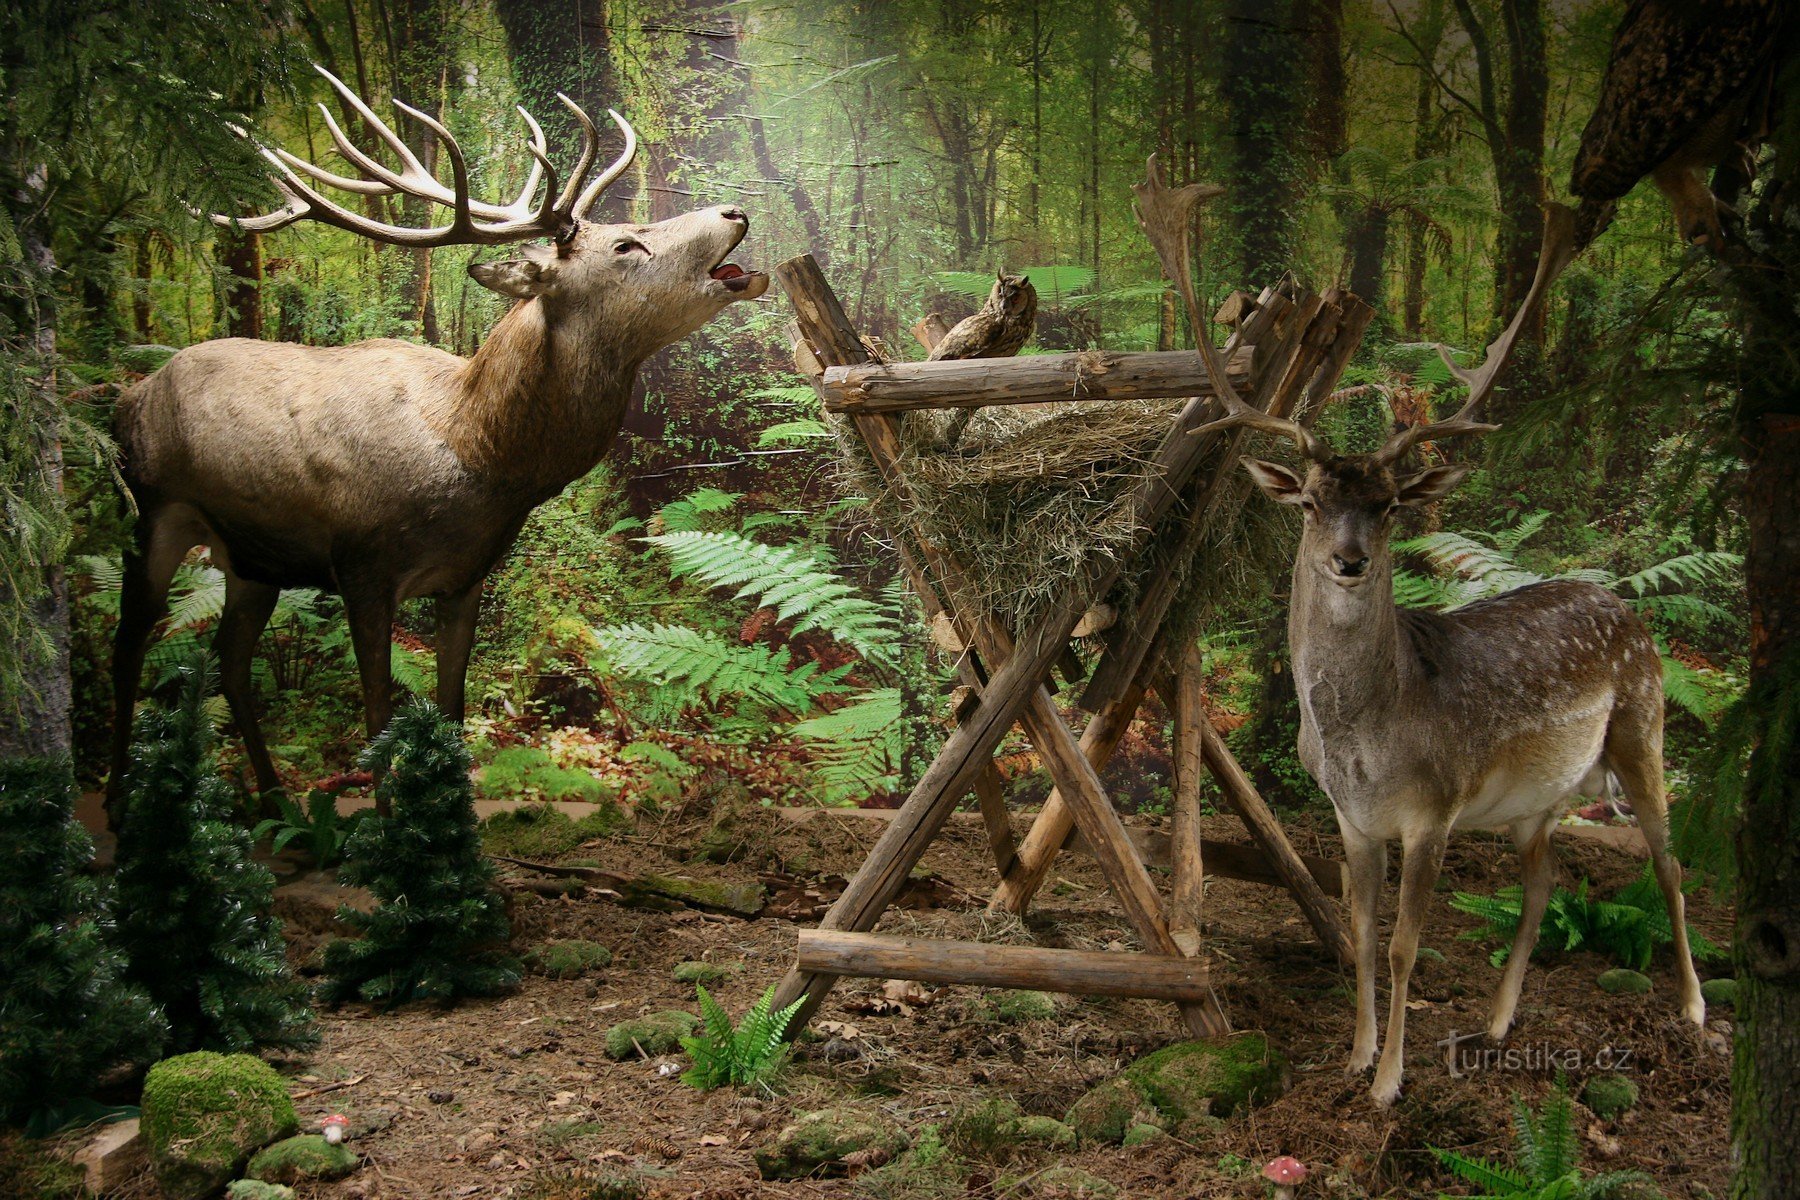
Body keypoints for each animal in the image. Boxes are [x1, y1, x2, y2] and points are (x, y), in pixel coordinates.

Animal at [105, 67, 766, 827]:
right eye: (625, 246)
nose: (733, 211)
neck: (480, 457)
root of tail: (128, 396)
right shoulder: (360, 565)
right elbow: (376, 717)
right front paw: (393, 833)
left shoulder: (467, 575)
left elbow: (450, 707)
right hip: (149, 512)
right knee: (128, 644)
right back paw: (121, 802)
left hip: (251, 556)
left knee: (229, 661)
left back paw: (275, 801)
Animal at [1195, 204, 1699, 1108]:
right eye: (1311, 503)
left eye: (1391, 504)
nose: (1350, 560)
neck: (1363, 741)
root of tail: (1622, 604)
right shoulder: (1351, 818)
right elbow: (1362, 933)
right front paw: (1355, 1057)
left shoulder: (1434, 809)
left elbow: (1404, 945)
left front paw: (1391, 1082)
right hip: (1540, 800)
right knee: (1543, 884)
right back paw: (1497, 1023)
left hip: (1644, 728)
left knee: (1671, 867)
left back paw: (1694, 1008)